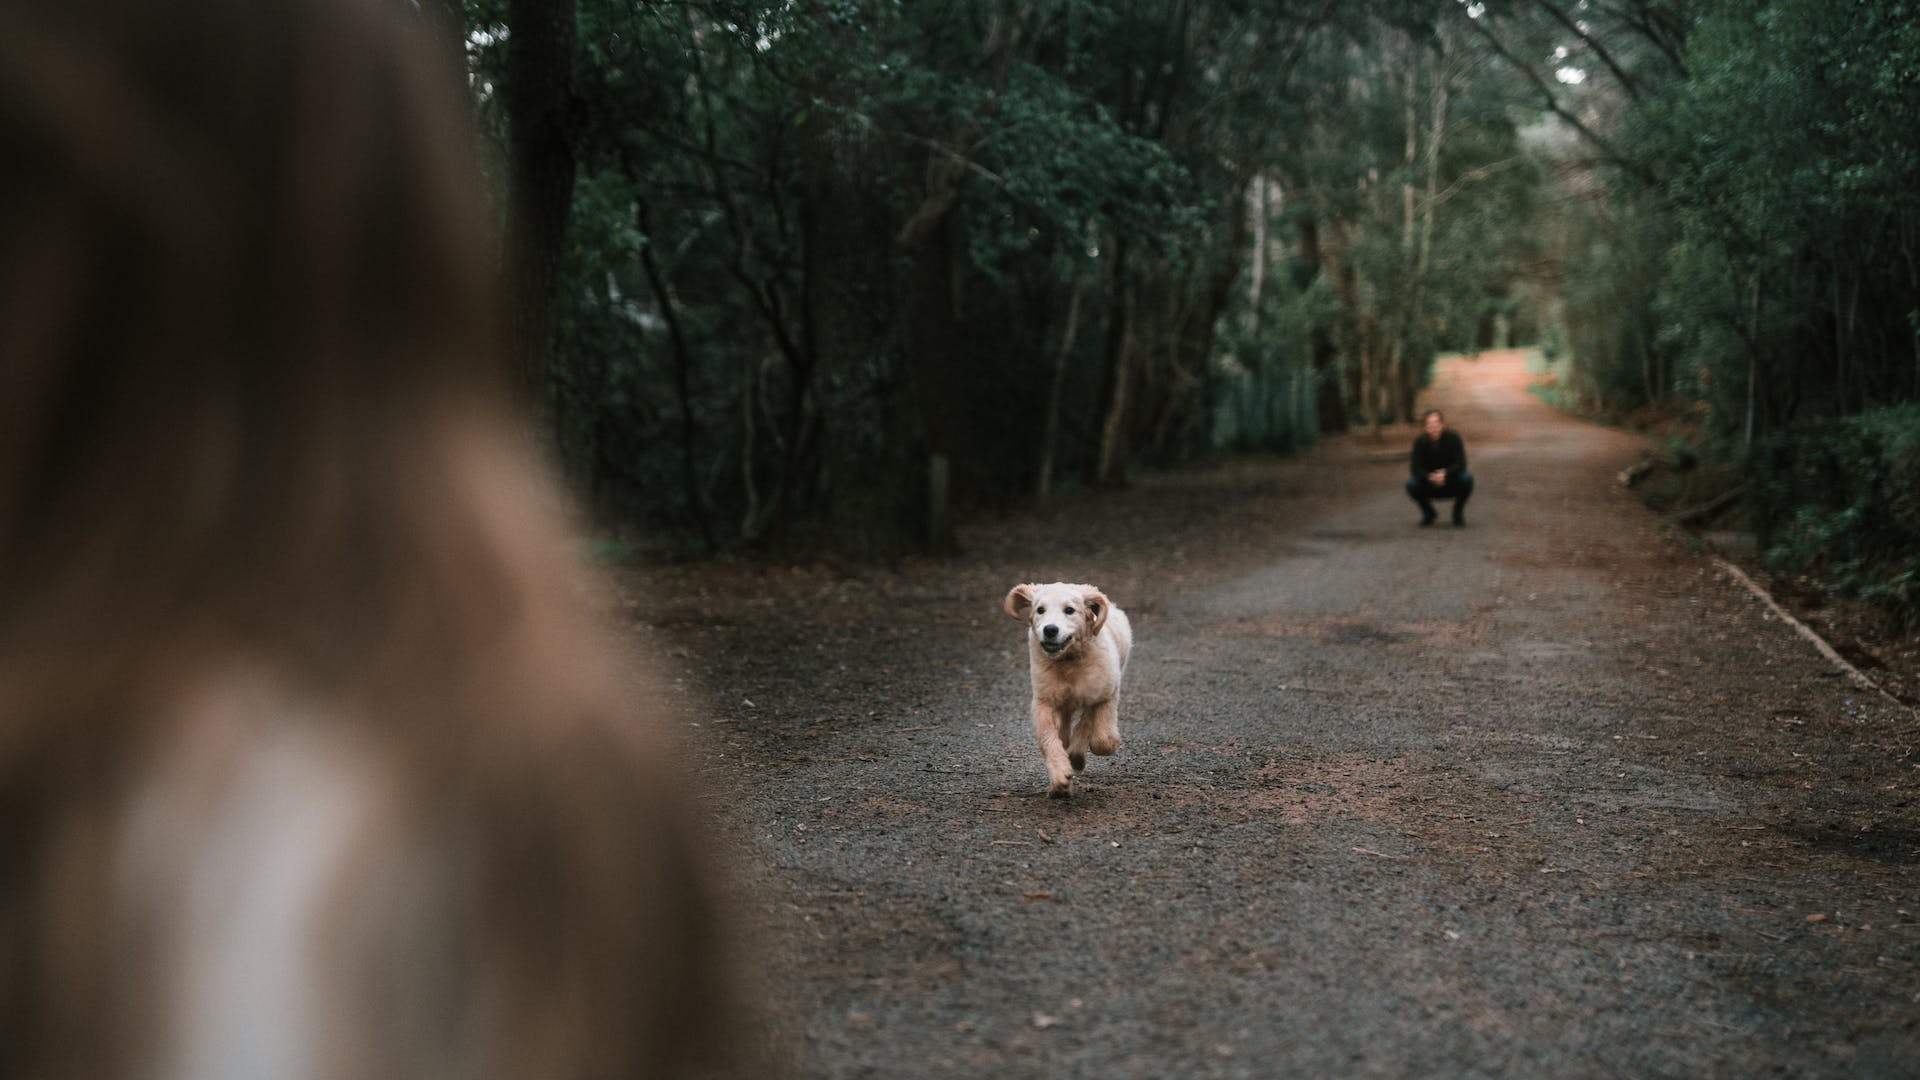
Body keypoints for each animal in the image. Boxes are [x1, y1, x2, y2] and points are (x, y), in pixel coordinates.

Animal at [1006, 580, 1121, 791]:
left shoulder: (1106, 692)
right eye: (1040, 609)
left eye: (1069, 610)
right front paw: (1060, 774)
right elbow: (1048, 737)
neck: (1067, 662)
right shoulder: (1044, 701)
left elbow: (1101, 738)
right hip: (1063, 704)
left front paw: (1082, 755)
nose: (1050, 629)